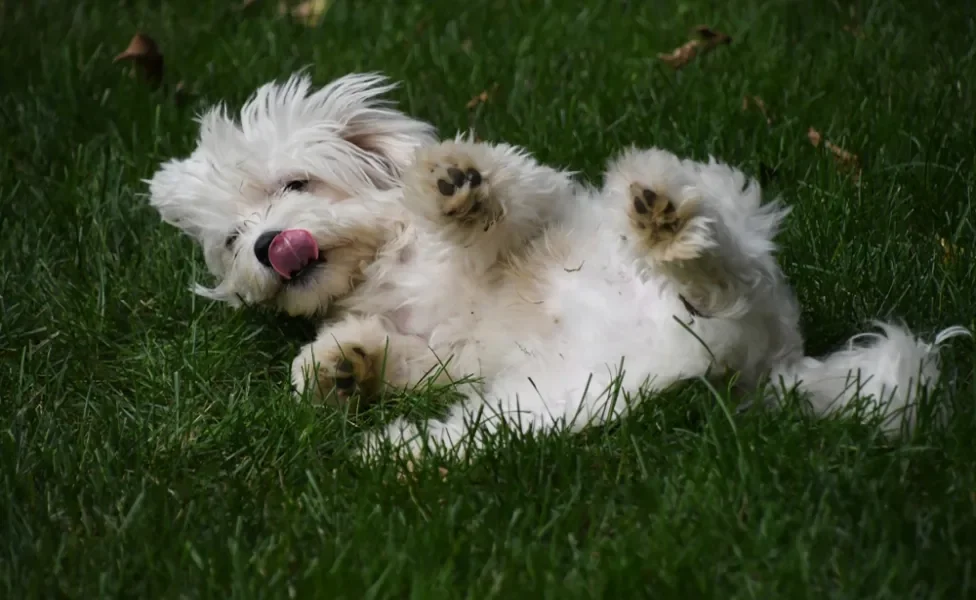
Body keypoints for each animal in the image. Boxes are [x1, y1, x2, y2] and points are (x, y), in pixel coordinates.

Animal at [145, 74, 968, 460]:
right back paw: (400, 455)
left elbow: (505, 207)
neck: (388, 259)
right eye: (230, 240)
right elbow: (398, 354)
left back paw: (669, 225)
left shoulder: (536, 208)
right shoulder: (448, 356)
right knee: (482, 435)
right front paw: (339, 366)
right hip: (553, 404)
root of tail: (757, 372)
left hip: (732, 222)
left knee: (724, 271)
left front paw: (456, 186)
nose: (266, 246)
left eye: (295, 184)